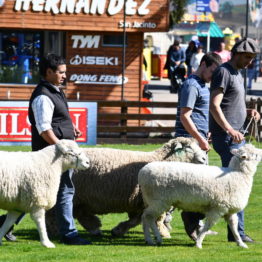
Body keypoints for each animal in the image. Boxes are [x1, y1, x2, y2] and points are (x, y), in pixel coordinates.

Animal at [46, 138, 208, 238]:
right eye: (188, 147)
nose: (205, 159)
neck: (162, 160)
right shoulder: (153, 200)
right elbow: (154, 218)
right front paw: (164, 233)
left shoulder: (139, 201)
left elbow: (137, 219)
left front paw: (118, 230)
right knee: (54, 213)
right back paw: (55, 231)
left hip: (81, 196)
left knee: (79, 212)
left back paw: (94, 228)